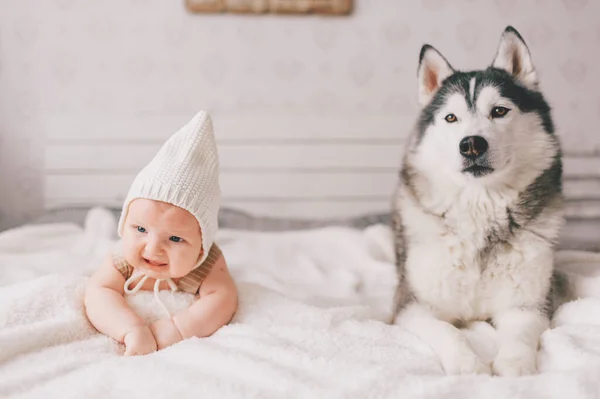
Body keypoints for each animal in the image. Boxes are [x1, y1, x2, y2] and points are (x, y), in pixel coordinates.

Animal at [392, 27, 564, 378]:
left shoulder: (528, 304)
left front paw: (515, 365)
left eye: (499, 111)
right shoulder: (413, 306)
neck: (480, 211)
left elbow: (521, 334)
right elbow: (446, 330)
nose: (471, 144)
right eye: (451, 117)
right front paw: (466, 363)